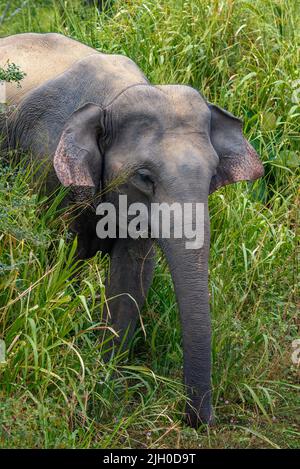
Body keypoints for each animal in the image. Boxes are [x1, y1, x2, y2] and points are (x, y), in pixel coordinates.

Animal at [0, 32, 262, 428]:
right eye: (144, 177)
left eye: (213, 174)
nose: (197, 420)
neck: (115, 97)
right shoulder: (43, 165)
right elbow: (60, 259)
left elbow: (133, 274)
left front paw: (104, 380)